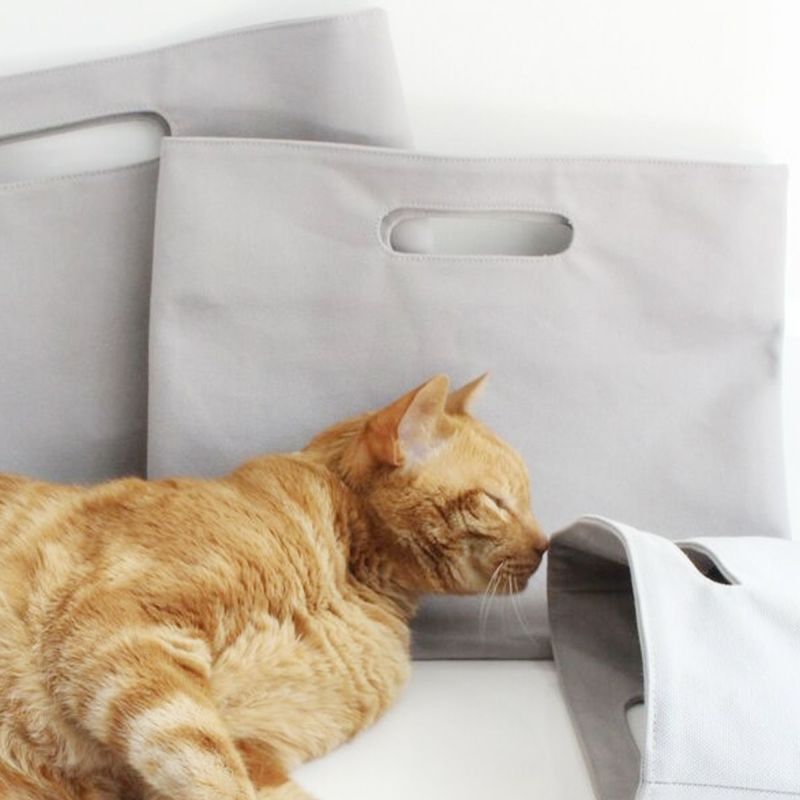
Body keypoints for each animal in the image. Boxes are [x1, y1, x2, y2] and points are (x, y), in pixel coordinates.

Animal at [0, 373, 548, 800]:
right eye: (498, 503)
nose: (546, 546)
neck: (346, 579)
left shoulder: (256, 749)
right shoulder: (117, 625)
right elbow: (206, 763)